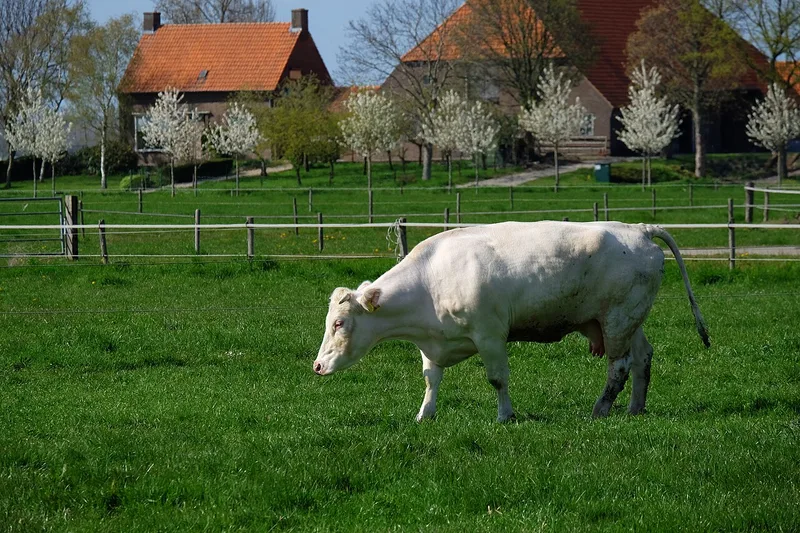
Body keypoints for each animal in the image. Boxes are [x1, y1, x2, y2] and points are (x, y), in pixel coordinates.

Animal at [314, 221, 709, 422]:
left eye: (339, 324)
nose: (317, 366)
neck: (431, 280)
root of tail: (639, 229)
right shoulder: (432, 343)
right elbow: (431, 380)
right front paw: (425, 414)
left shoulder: (490, 336)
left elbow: (497, 379)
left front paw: (505, 416)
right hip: (628, 321)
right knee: (642, 358)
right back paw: (635, 408)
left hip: (617, 320)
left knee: (620, 366)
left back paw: (600, 410)